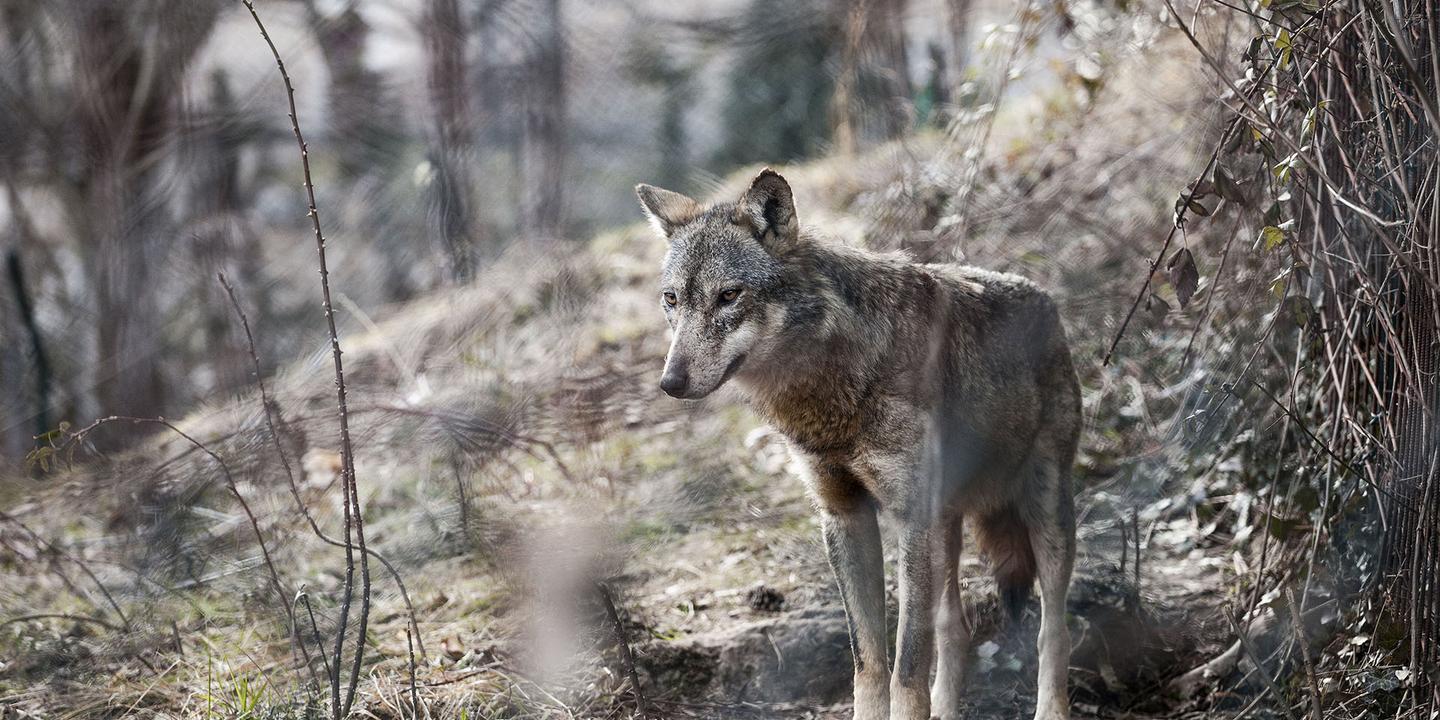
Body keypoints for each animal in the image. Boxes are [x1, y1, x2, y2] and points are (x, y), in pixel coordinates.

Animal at [636, 169, 1081, 720]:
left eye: (729, 295)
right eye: (672, 300)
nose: (670, 382)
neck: (831, 393)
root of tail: (1045, 296)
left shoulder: (910, 519)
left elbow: (905, 670)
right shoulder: (845, 517)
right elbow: (868, 665)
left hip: (1044, 514)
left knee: (1053, 630)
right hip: (947, 529)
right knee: (954, 631)